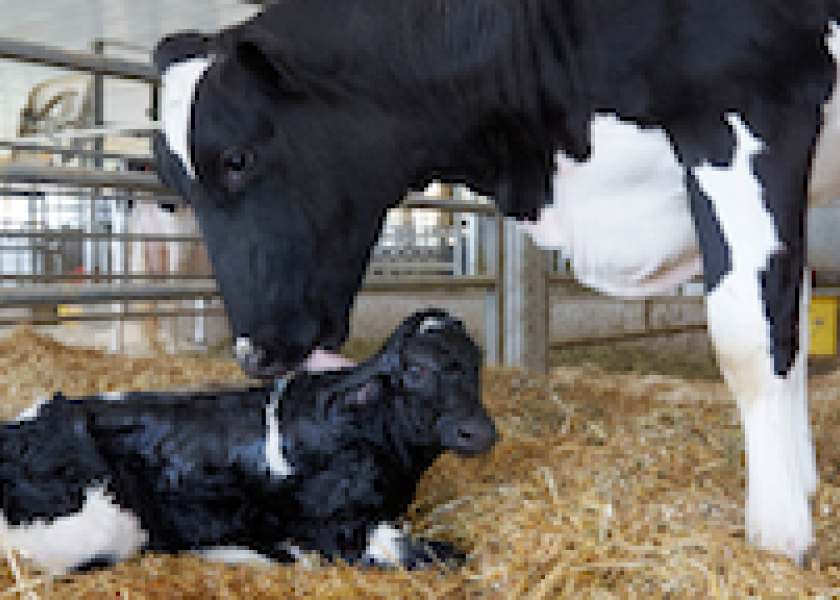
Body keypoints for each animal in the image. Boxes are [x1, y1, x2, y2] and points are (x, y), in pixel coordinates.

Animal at [151, 0, 840, 564]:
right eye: (176, 184)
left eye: (237, 158)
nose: (253, 353)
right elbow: (791, 327)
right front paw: (804, 483)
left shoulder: (750, 113)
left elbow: (752, 337)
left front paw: (780, 531)